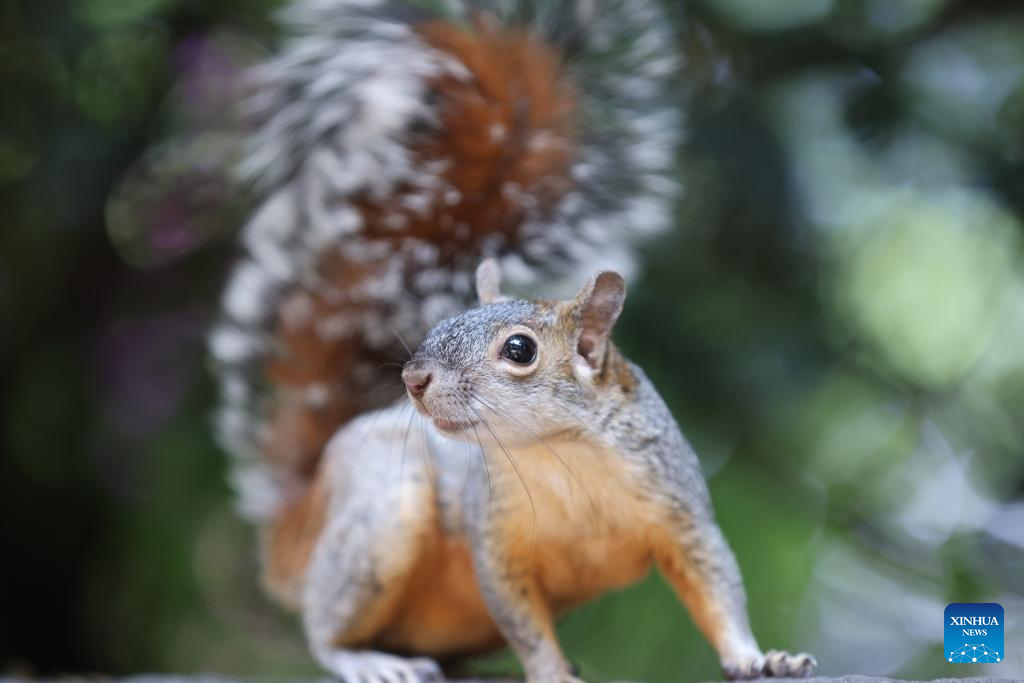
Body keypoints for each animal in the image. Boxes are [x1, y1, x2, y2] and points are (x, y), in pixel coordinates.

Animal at [200, 0, 818, 681]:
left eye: (519, 351)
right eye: (438, 323)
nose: (413, 379)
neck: (558, 455)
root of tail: (301, 515)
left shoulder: (683, 515)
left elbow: (717, 590)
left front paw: (760, 657)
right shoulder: (495, 541)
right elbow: (522, 621)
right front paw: (551, 671)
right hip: (383, 512)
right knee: (323, 626)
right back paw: (366, 659)